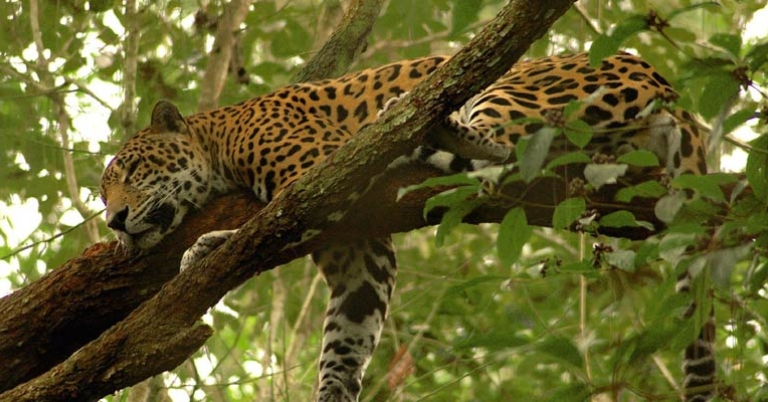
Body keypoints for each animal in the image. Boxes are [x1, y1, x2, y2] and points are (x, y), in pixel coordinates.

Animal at [100, 52, 712, 402]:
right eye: (102, 194)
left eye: (131, 171)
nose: (115, 221)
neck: (217, 141)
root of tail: (676, 95)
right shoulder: (360, 254)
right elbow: (347, 335)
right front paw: (334, 391)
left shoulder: (319, 175)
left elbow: (270, 226)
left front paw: (208, 246)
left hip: (515, 87)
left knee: (506, 149)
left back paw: (417, 123)